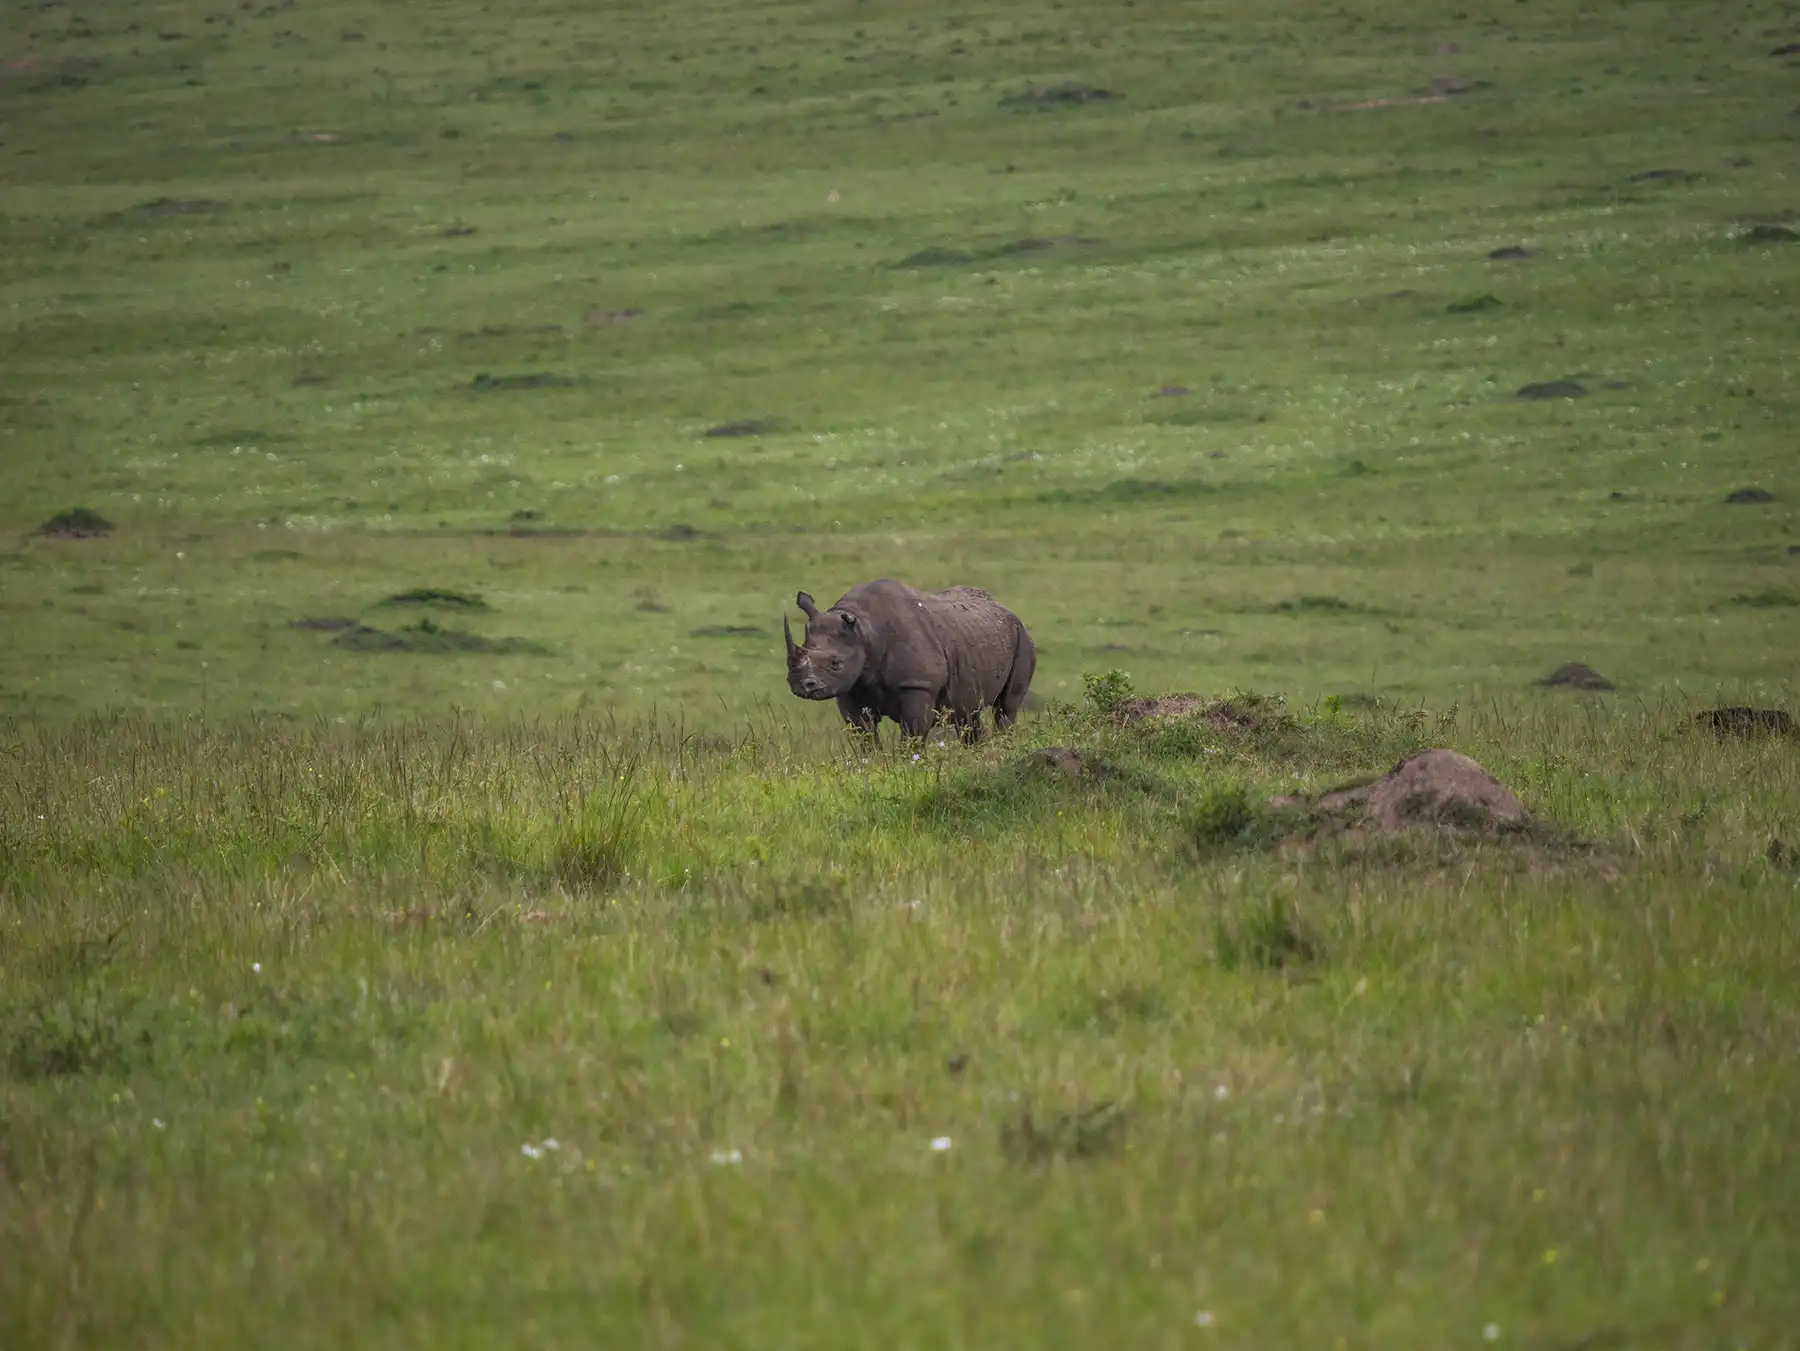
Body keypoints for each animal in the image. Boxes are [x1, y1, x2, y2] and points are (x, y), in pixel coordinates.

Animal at [784, 578, 1036, 742]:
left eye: (836, 664)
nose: (802, 685)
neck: (865, 631)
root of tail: (1005, 608)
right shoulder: (850, 688)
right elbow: (864, 736)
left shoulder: (917, 685)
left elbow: (913, 735)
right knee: (967, 713)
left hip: (1022, 638)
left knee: (1006, 708)